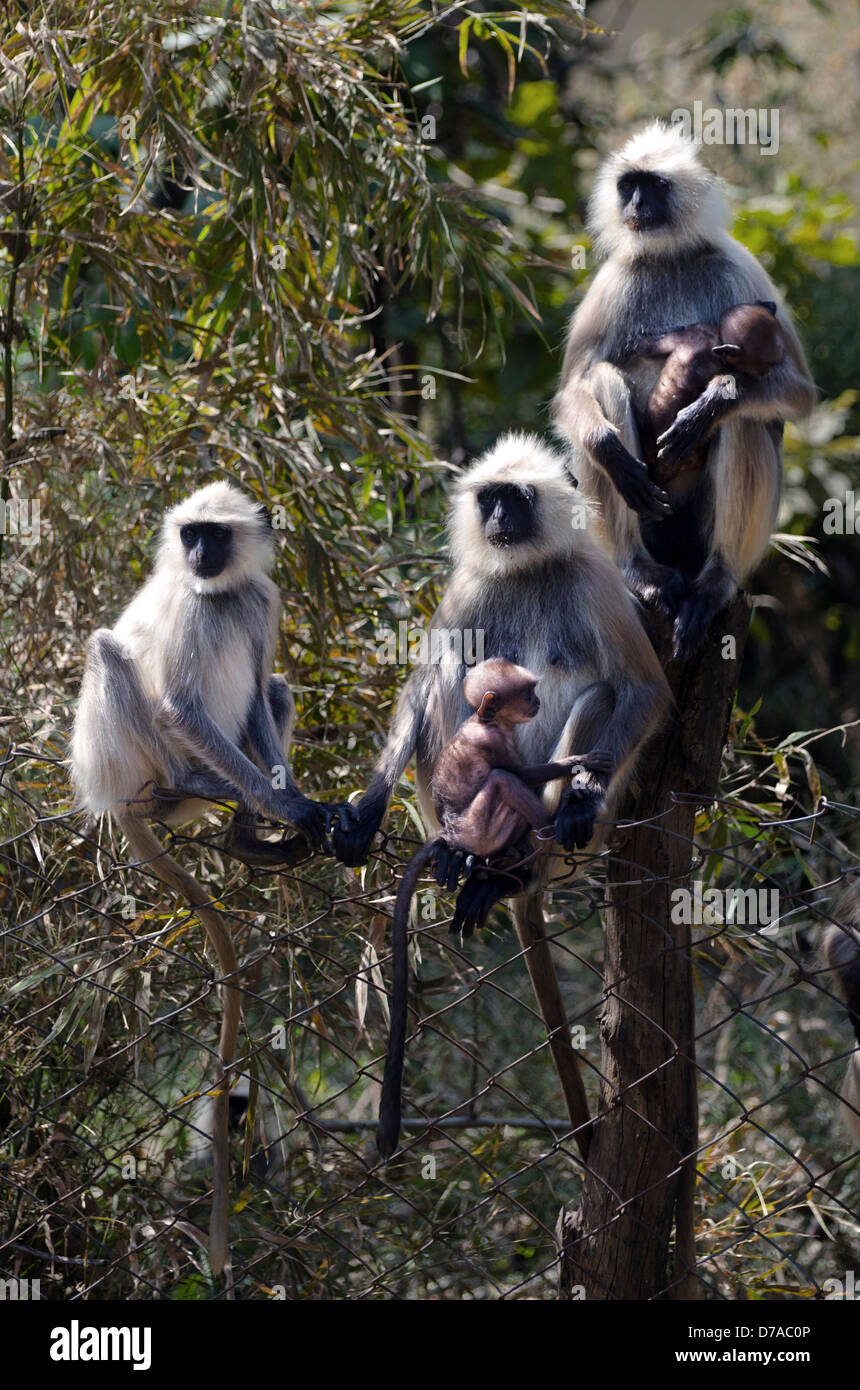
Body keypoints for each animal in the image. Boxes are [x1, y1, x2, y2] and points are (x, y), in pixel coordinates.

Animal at [71, 483, 333, 1273]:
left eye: (213, 535)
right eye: (189, 533)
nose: (195, 554)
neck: (220, 593)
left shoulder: (261, 598)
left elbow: (257, 698)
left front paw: (287, 810)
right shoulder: (193, 608)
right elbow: (179, 705)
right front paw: (291, 807)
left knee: (270, 688)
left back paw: (247, 834)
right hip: (129, 760)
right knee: (111, 651)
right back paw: (202, 791)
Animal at [333, 433, 669, 1150]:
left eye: (516, 498)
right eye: (488, 497)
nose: (496, 519)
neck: (529, 570)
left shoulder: (595, 579)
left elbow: (643, 688)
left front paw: (581, 794)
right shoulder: (471, 586)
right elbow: (421, 681)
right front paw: (365, 812)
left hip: (580, 841)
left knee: (601, 702)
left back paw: (517, 867)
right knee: (442, 677)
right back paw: (464, 855)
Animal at [555, 122, 816, 658]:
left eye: (653, 186)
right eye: (628, 186)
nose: (635, 204)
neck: (672, 256)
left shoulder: (740, 265)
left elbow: (798, 391)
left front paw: (711, 403)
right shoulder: (614, 280)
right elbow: (572, 391)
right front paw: (608, 447)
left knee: (748, 419)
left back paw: (715, 581)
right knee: (603, 381)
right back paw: (641, 571)